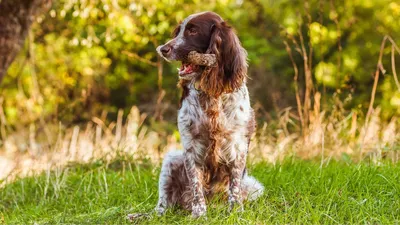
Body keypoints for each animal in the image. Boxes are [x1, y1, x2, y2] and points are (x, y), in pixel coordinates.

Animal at [155, 11, 264, 218]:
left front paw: (235, 211)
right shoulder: (191, 146)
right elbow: (196, 185)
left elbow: (234, 186)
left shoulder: (237, 146)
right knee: (163, 204)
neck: (212, 95)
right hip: (172, 160)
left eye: (193, 30)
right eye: (178, 31)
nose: (163, 49)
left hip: (253, 186)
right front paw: (199, 214)